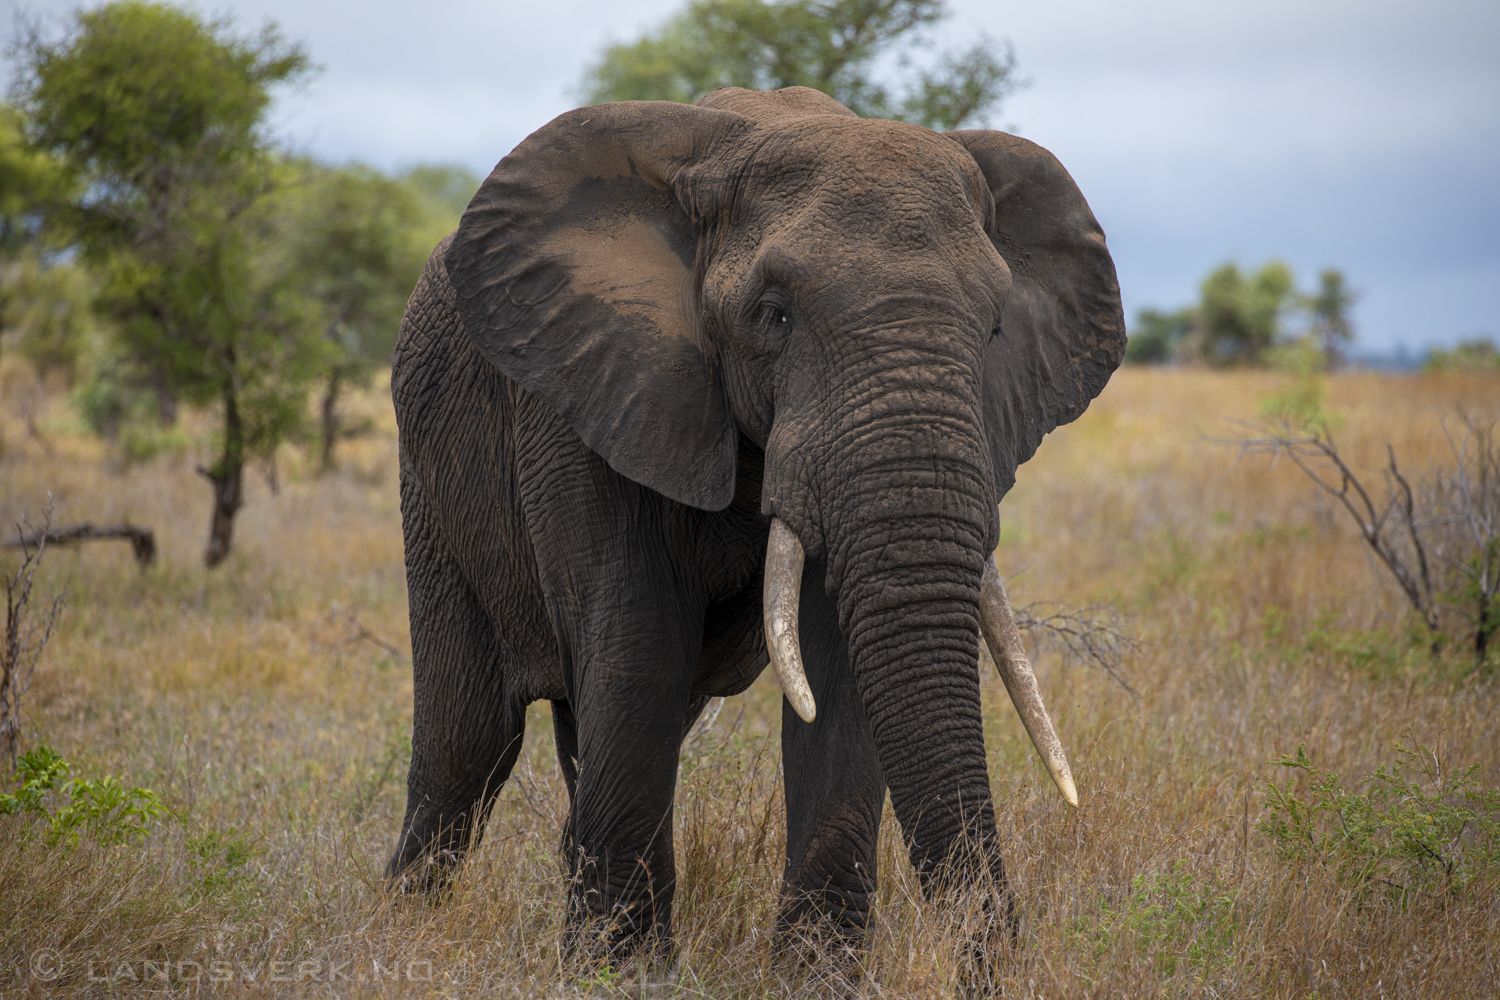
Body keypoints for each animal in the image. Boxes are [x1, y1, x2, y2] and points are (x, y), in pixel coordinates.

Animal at [387, 88, 1128, 971]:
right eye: (772, 315)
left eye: (992, 331)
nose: (991, 963)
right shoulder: (591, 396)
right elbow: (637, 645)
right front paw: (622, 975)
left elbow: (839, 675)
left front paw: (813, 976)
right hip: (430, 484)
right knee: (470, 743)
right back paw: (400, 928)